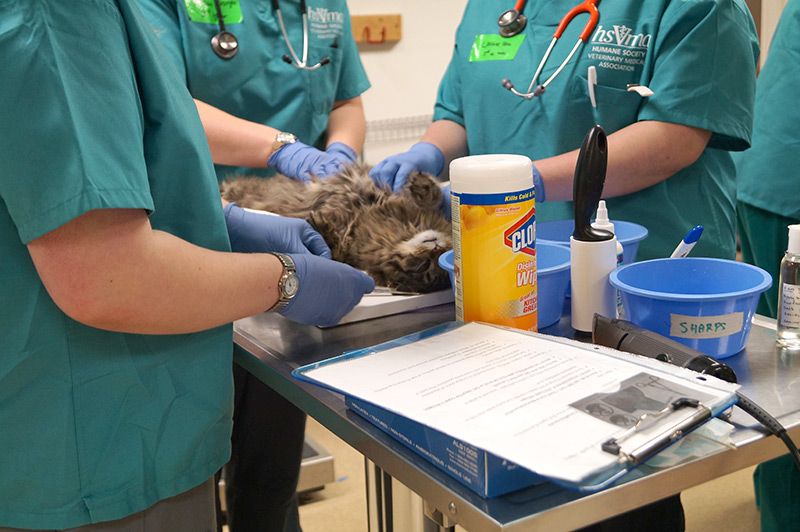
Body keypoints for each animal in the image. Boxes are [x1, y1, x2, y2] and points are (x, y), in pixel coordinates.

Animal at [222, 164, 454, 294]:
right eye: (424, 264)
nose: (435, 247)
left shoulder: (348, 246)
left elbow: (333, 249)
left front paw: (322, 228)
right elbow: (432, 198)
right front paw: (423, 185)